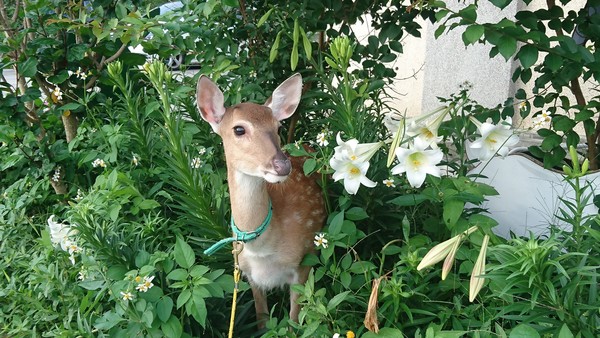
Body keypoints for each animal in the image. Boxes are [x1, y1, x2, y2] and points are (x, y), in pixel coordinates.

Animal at [197, 73, 326, 328]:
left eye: (278, 126)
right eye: (239, 129)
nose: (282, 165)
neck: (262, 250)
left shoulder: (304, 262)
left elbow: (293, 323)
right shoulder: (247, 273)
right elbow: (262, 320)